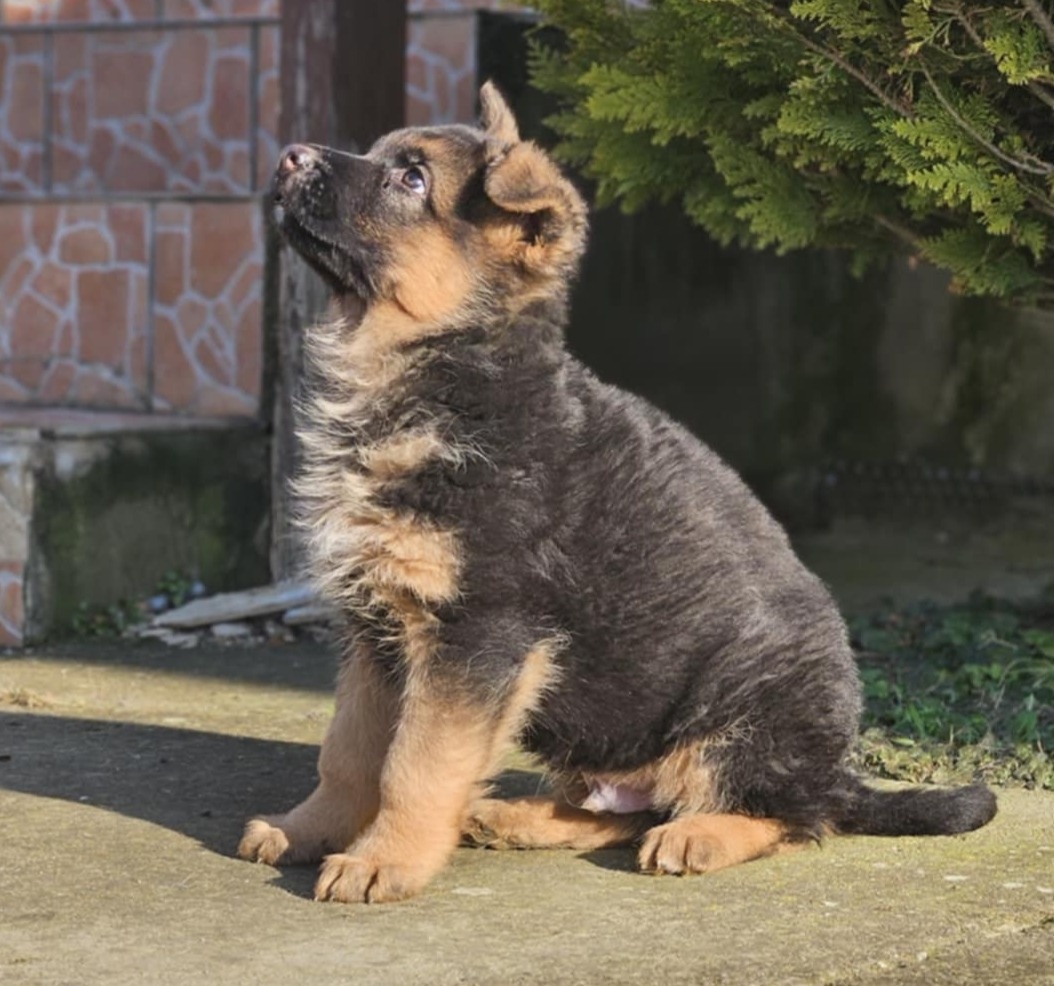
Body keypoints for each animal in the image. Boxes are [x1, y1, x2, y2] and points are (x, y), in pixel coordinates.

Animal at [239, 82, 994, 902]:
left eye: (411, 179)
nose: (287, 155)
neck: (435, 371)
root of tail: (839, 770)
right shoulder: (376, 627)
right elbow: (348, 752)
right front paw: (308, 828)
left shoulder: (478, 631)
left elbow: (416, 763)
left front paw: (384, 859)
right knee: (625, 810)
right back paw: (515, 817)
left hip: (746, 705)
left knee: (791, 814)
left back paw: (700, 834)